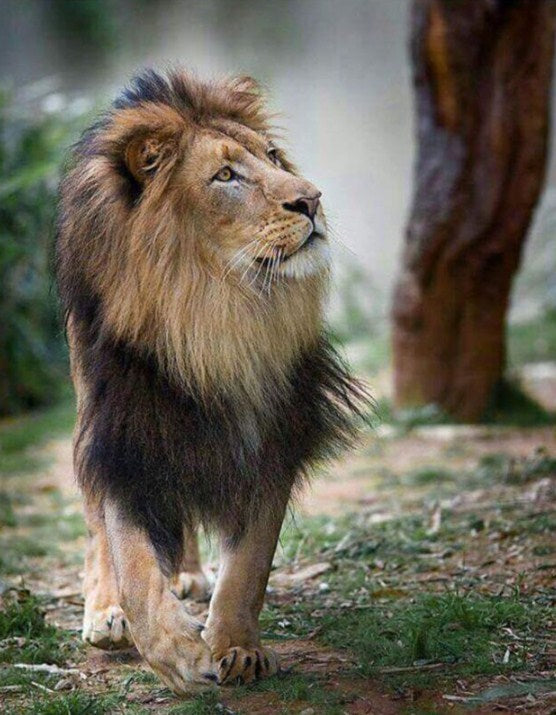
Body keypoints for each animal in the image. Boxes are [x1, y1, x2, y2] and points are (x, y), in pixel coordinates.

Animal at [56, 69, 369, 692]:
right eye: (225, 176)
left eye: (273, 156)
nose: (312, 199)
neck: (216, 311)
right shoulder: (125, 430)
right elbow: (129, 553)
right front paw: (174, 651)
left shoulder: (272, 431)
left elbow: (249, 563)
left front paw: (237, 646)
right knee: (97, 520)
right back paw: (107, 612)